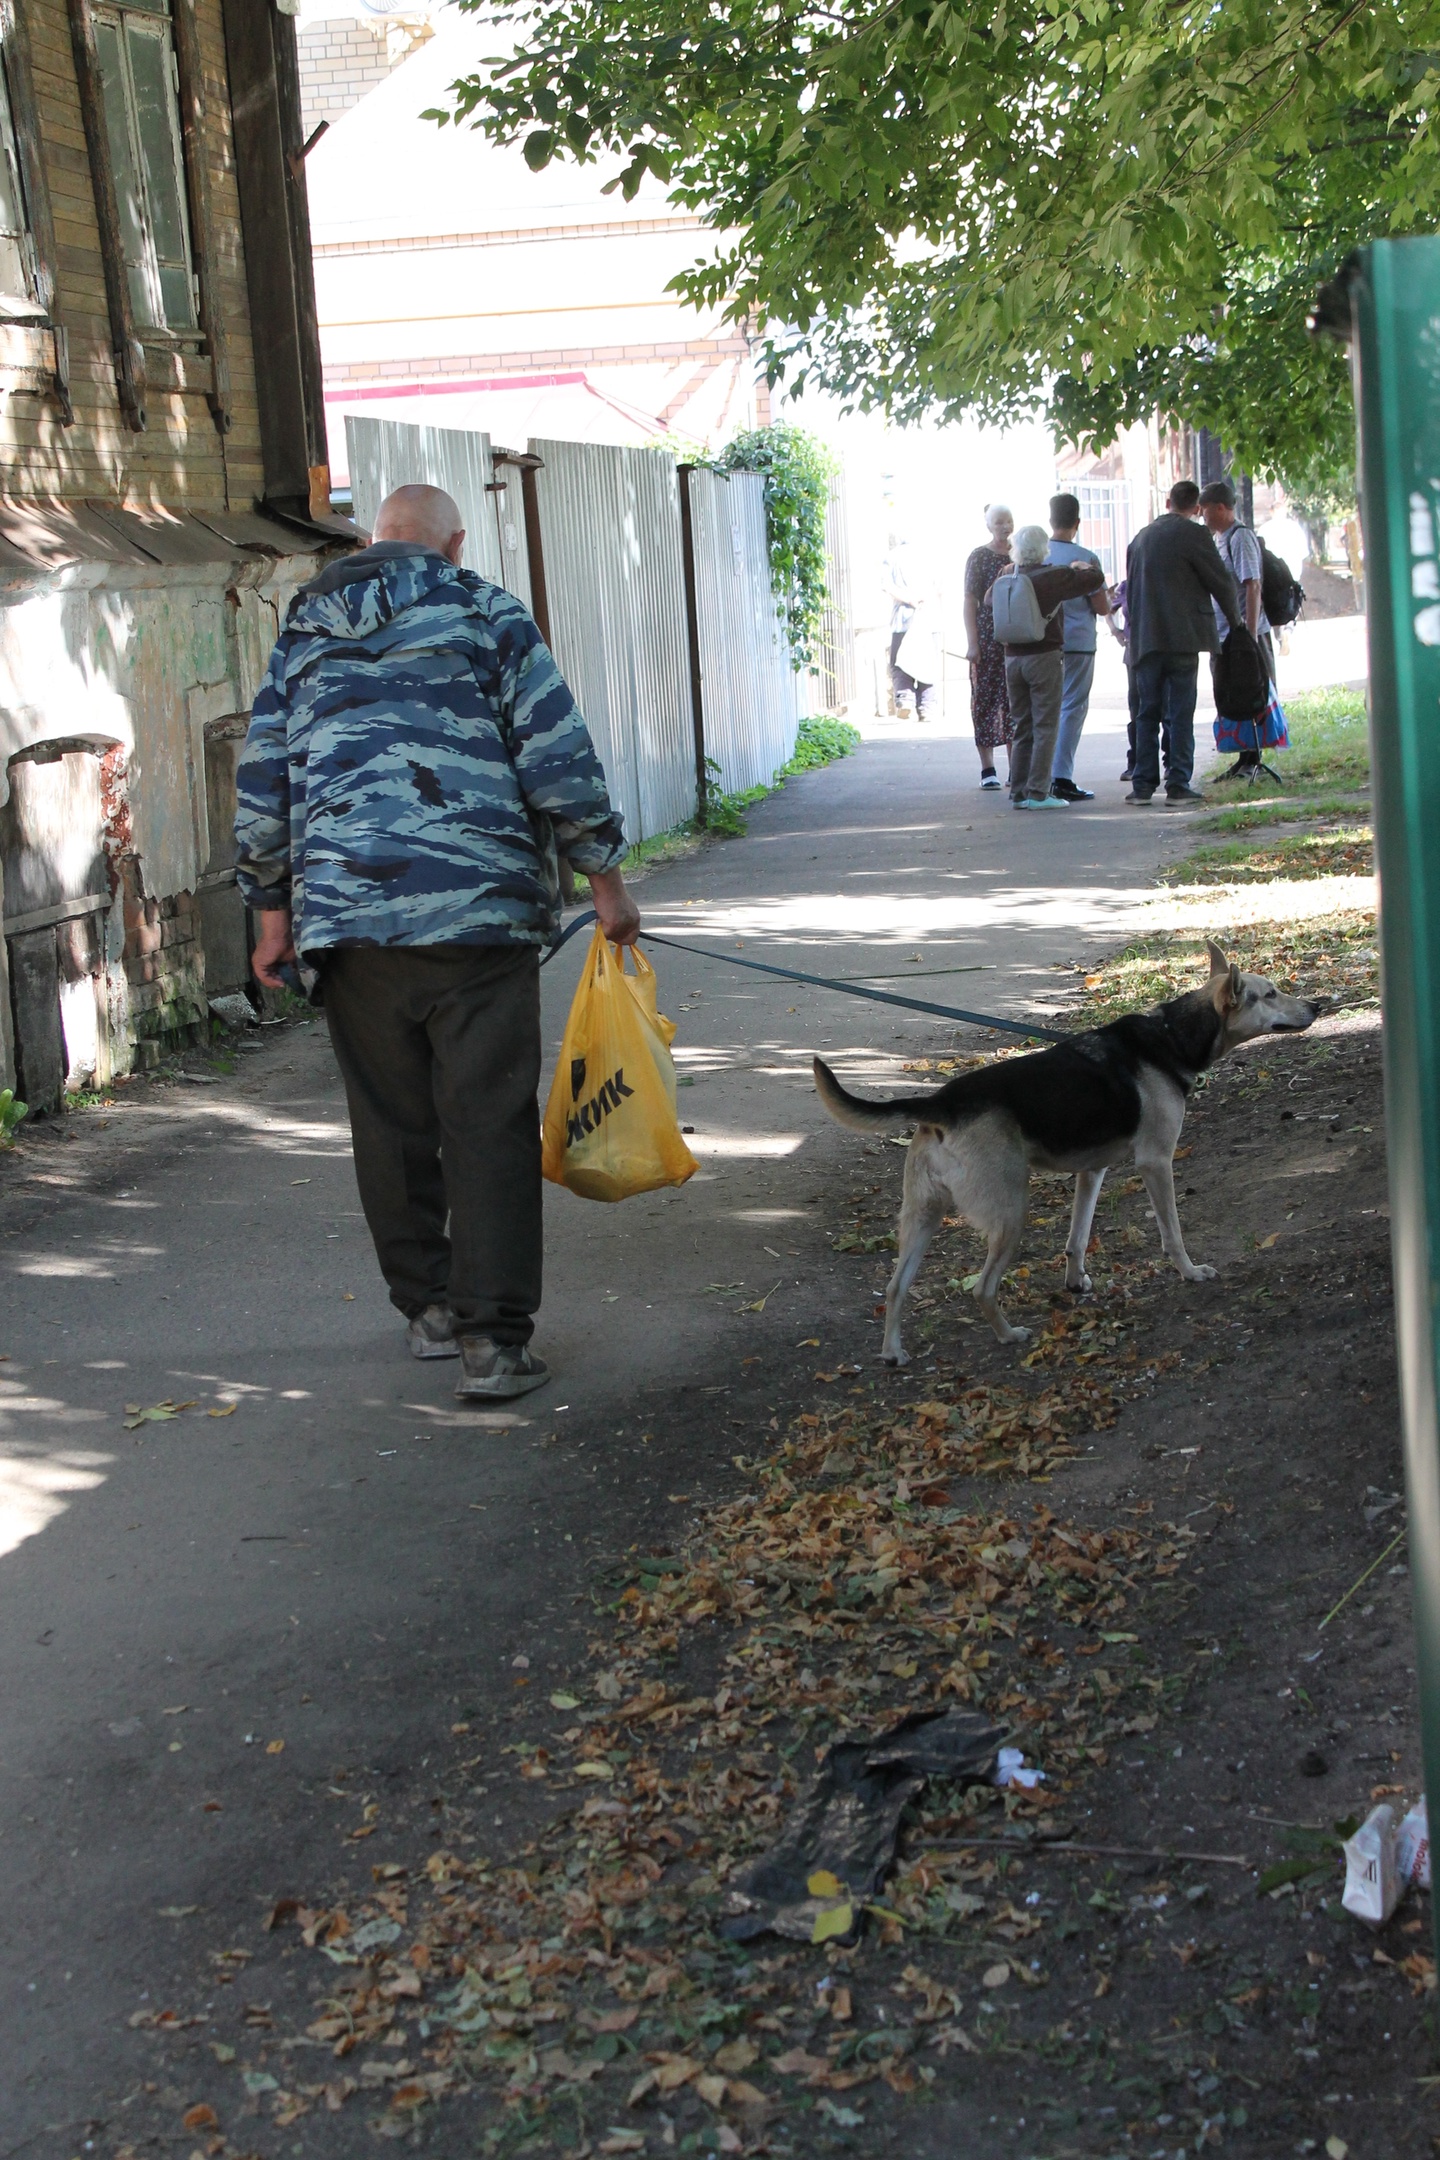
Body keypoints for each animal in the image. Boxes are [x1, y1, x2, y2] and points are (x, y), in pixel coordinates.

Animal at [811, 941, 1321, 1356]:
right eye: (1271, 993)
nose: (1317, 1005)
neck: (1170, 1037)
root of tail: (943, 1103)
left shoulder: (1091, 1172)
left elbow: (1077, 1238)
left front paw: (1076, 1283)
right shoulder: (1156, 1163)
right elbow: (1172, 1234)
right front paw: (1191, 1272)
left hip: (923, 1216)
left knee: (895, 1288)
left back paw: (893, 1352)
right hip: (1010, 1212)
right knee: (981, 1289)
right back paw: (1008, 1335)